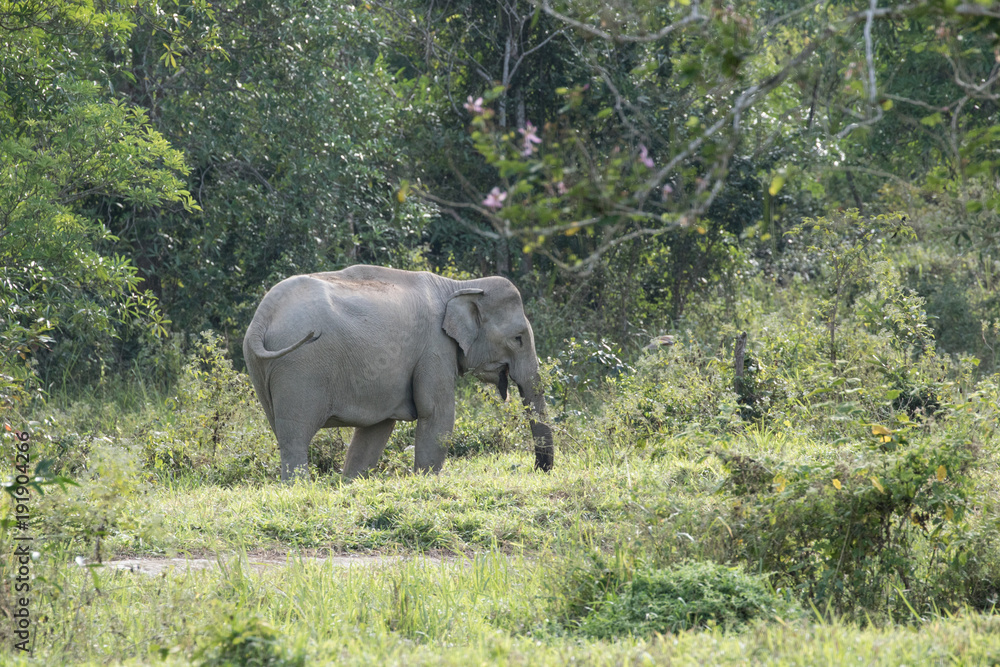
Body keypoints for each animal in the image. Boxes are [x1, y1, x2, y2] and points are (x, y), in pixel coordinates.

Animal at [243, 265, 554, 481]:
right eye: (518, 338)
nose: (539, 469)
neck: (460, 286)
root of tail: (262, 317)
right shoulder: (435, 348)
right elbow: (437, 414)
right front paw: (426, 481)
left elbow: (376, 430)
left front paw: (349, 484)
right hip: (299, 368)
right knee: (295, 437)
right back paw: (298, 487)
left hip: (260, 367)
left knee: (282, 433)